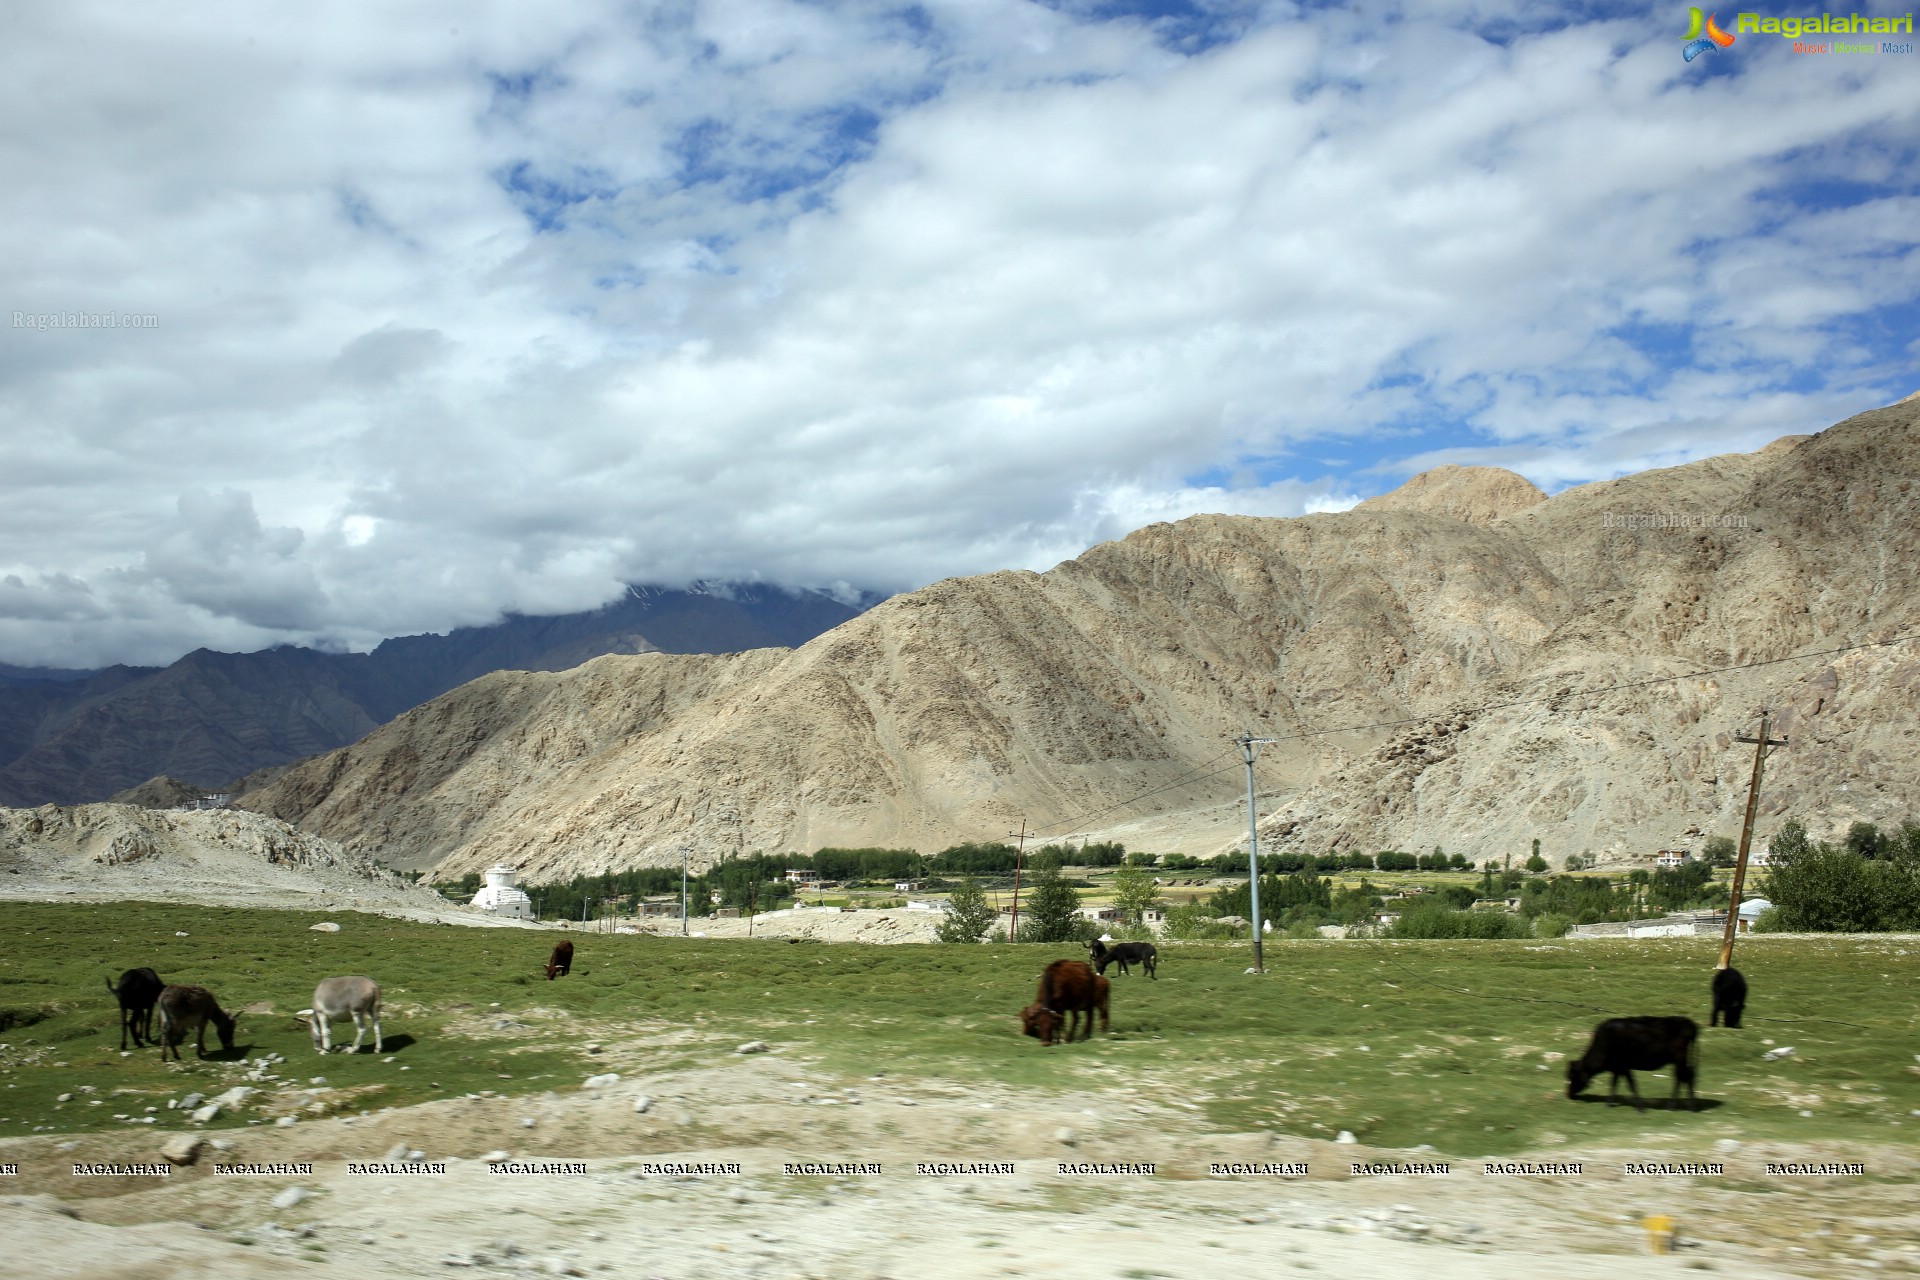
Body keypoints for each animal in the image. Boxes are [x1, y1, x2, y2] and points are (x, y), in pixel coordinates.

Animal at [1566, 1020, 1704, 1113]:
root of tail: (1690, 1024)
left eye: (1572, 1075)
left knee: (1682, 1077)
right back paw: (1688, 1106)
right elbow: (1615, 1083)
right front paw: (1609, 1103)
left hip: (1679, 1057)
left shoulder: (1623, 1066)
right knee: (1686, 1076)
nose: (1569, 1095)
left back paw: (1677, 1106)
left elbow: (1631, 1084)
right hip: (1681, 1059)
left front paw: (1640, 1108)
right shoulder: (1618, 1067)